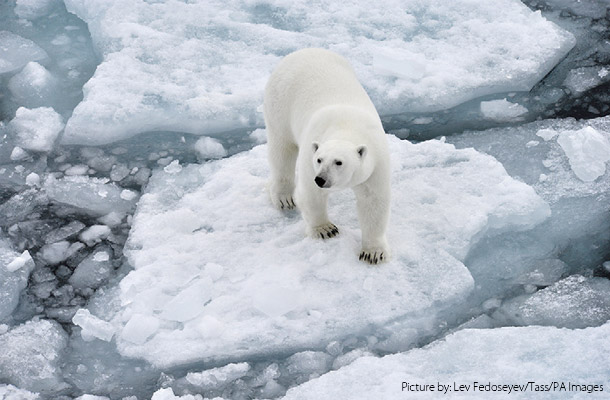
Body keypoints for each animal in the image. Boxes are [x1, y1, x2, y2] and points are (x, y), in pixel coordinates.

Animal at [262, 48, 390, 264]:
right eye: (319, 159)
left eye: (339, 162)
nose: (320, 179)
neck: (346, 127)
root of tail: (301, 51)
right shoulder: (309, 157)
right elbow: (311, 194)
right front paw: (325, 229)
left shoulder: (376, 163)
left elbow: (373, 202)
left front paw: (372, 253)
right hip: (280, 104)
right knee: (282, 151)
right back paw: (284, 198)